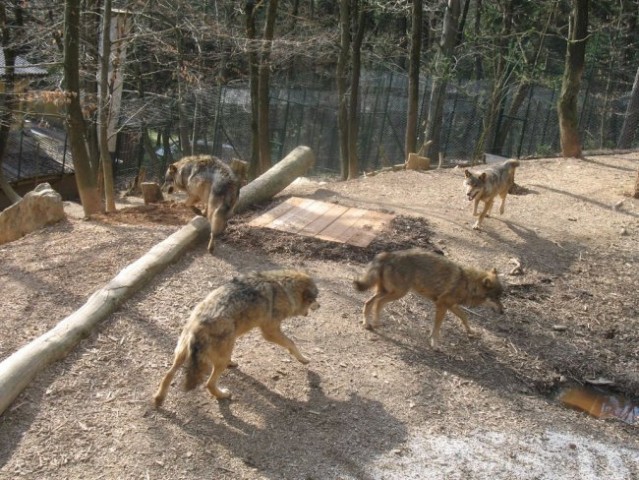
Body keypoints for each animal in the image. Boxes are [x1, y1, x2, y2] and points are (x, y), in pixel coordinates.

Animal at [153, 268, 322, 406]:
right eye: (315, 299)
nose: (320, 306)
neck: (284, 288)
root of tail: (196, 326)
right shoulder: (270, 331)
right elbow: (291, 343)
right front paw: (303, 359)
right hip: (224, 352)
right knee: (209, 384)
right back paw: (223, 395)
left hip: (183, 354)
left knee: (168, 374)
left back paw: (159, 399)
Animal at [356, 249, 504, 346]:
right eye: (495, 298)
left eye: (500, 297)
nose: (503, 311)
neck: (467, 283)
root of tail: (388, 254)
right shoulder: (442, 305)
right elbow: (437, 327)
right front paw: (434, 343)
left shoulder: (451, 305)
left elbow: (464, 317)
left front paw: (471, 332)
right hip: (398, 293)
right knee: (378, 303)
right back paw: (375, 323)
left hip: (387, 291)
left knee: (368, 302)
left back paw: (367, 323)